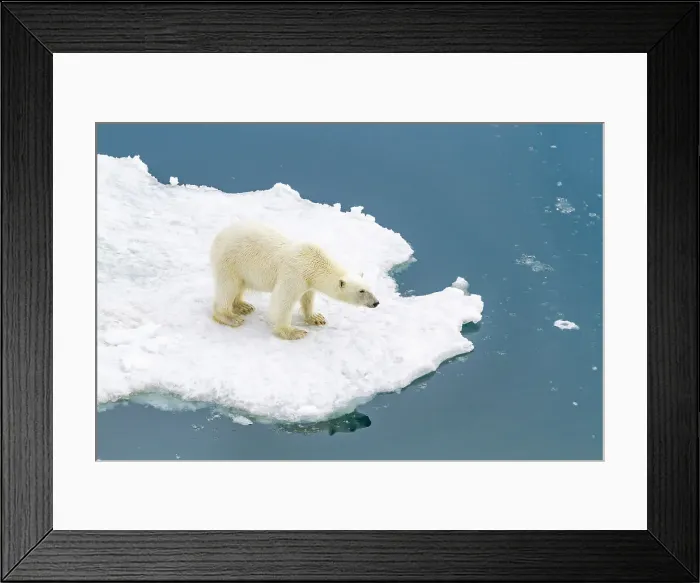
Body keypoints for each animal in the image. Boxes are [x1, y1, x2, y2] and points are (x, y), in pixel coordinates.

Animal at [209, 221, 380, 340]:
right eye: (361, 291)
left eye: (370, 288)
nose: (376, 303)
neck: (314, 262)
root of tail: (219, 236)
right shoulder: (294, 274)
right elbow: (283, 300)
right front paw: (293, 332)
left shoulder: (308, 280)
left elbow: (308, 297)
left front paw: (316, 318)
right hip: (231, 260)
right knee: (228, 286)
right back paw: (230, 317)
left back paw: (243, 306)